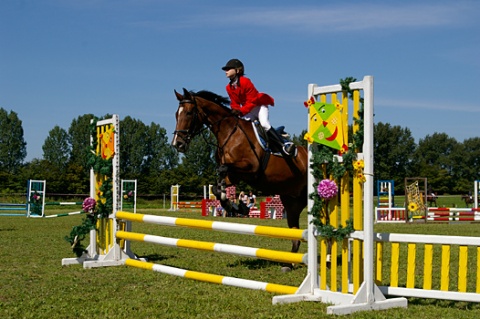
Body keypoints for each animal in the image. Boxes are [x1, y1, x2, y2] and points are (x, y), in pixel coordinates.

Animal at [172, 89, 308, 262]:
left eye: (189, 113)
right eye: (176, 114)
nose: (178, 144)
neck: (228, 132)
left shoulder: (251, 168)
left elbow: (222, 170)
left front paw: (237, 206)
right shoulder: (235, 175)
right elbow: (217, 187)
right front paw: (235, 206)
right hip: (291, 199)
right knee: (295, 230)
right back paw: (288, 263)